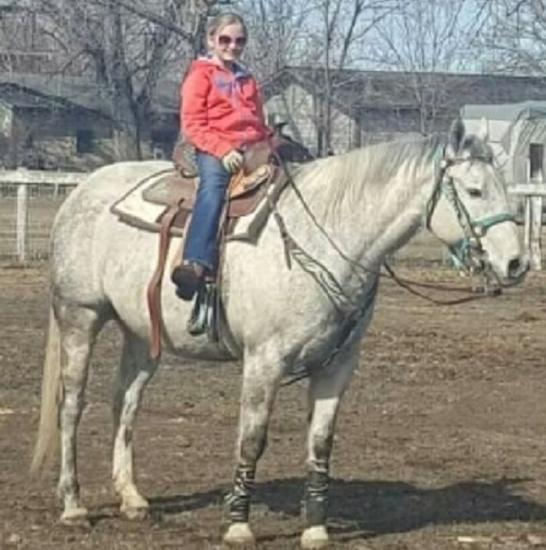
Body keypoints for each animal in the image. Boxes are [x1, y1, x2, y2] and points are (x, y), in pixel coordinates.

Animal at [30, 122, 528, 550]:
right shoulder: (264, 361)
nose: (517, 264)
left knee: (126, 403)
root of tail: (82, 192)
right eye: (474, 190)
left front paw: (315, 529)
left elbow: (321, 443)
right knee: (72, 405)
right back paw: (73, 505)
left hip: (140, 333)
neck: (326, 233)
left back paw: (132, 499)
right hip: (80, 317)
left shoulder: (336, 367)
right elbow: (252, 439)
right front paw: (238, 526)